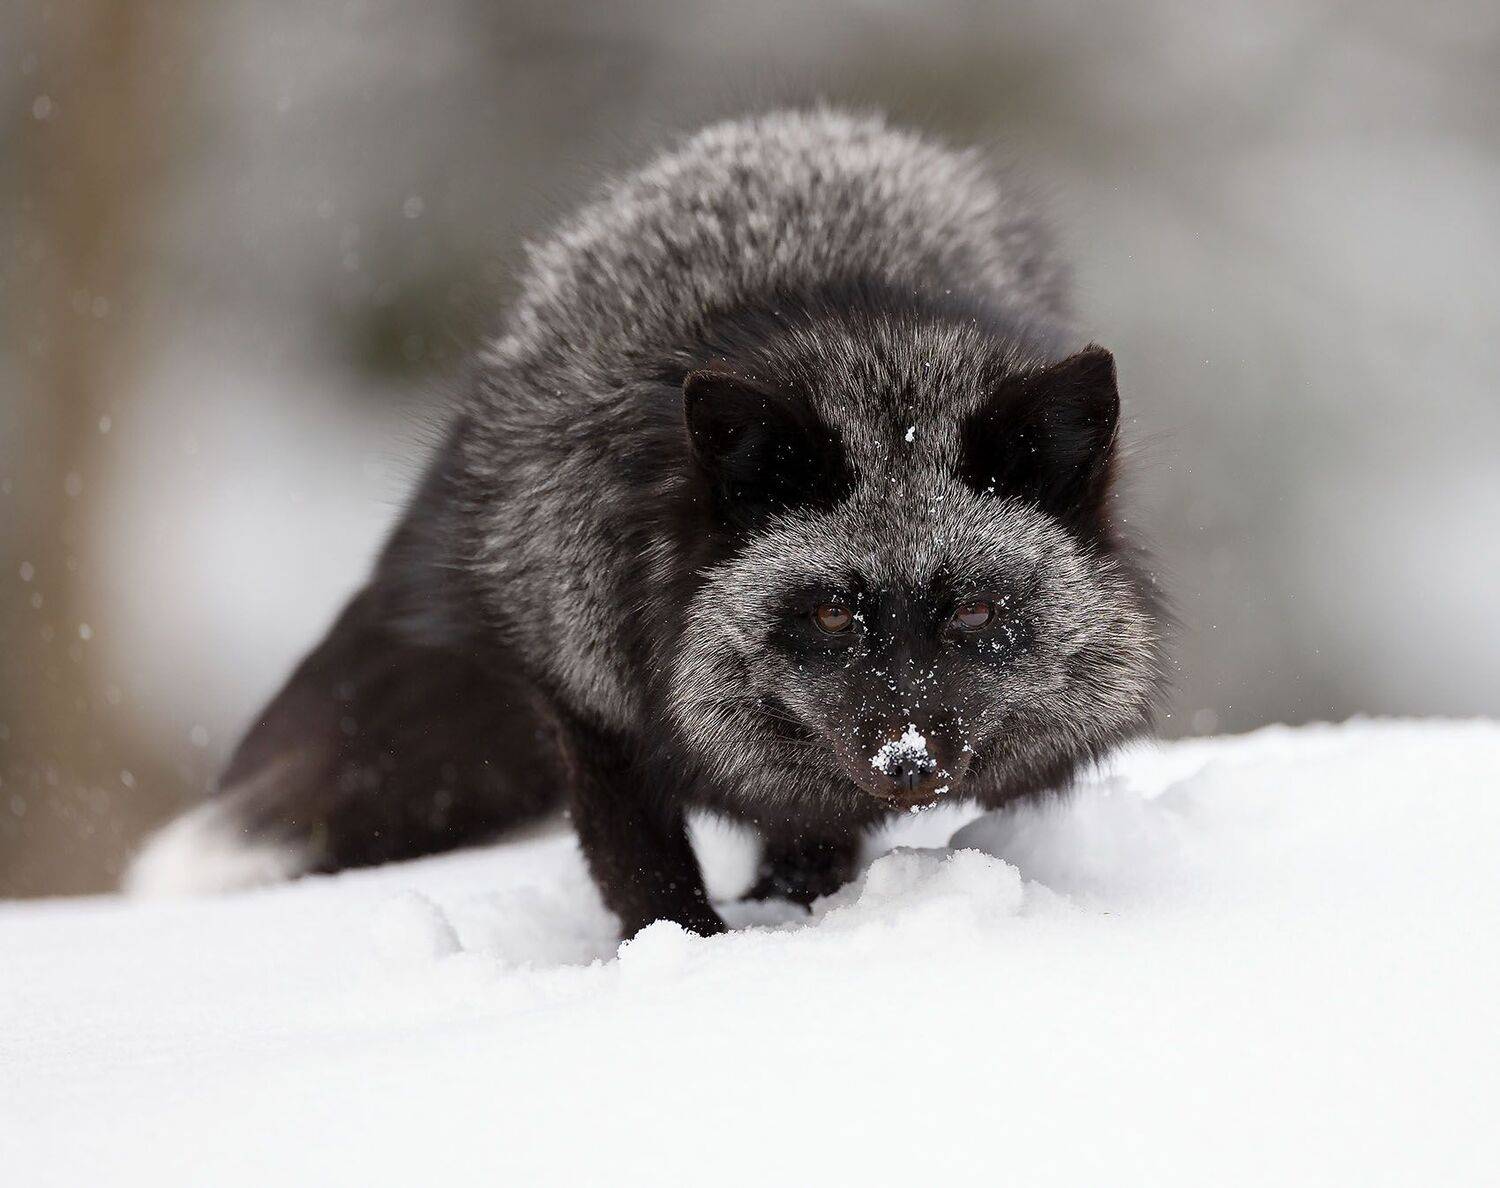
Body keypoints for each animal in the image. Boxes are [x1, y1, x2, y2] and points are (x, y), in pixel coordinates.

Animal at [126, 109, 1164, 937]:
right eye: (831, 614)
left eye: (976, 613)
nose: (906, 761)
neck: (857, 323)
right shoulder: (588, 699)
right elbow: (643, 870)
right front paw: (689, 955)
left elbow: (813, 831)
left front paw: (796, 915)